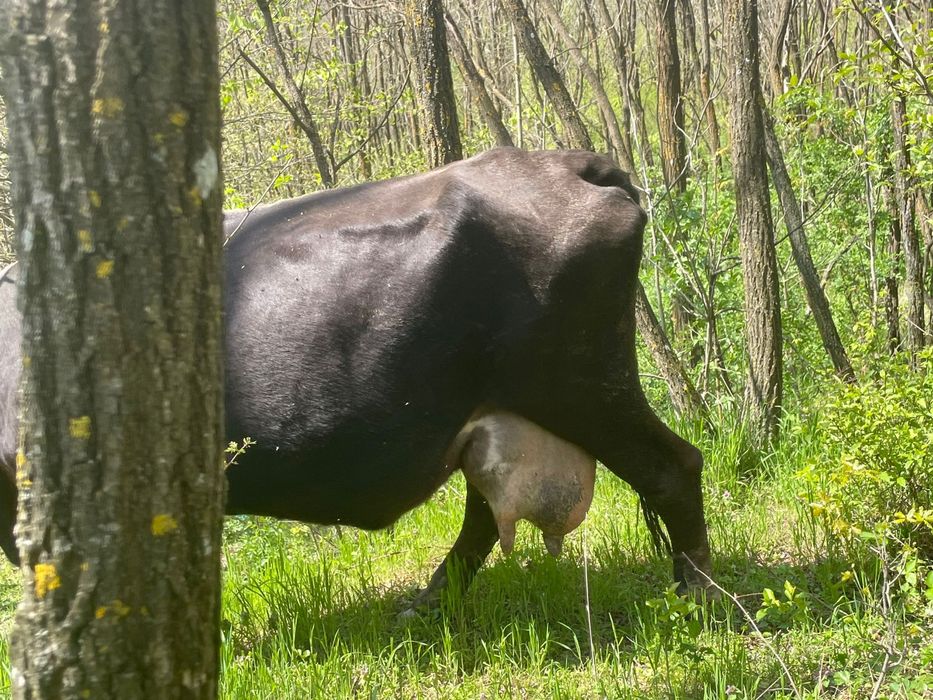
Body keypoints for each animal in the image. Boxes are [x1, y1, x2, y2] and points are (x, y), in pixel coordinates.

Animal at [0, 148, 713, 608]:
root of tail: (572, 163)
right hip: (510, 408)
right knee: (484, 513)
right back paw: (428, 606)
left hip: (581, 386)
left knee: (672, 466)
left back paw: (698, 598)